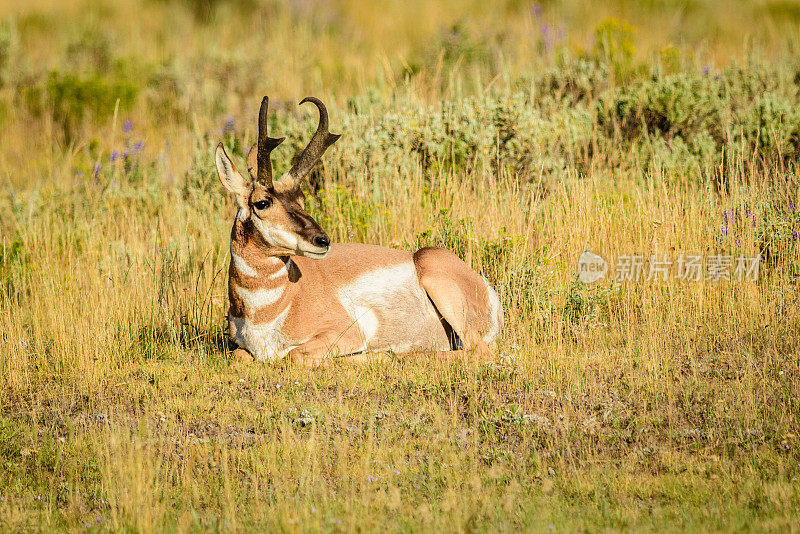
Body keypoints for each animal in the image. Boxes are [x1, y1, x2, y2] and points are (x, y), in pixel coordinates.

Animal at [212, 96, 500, 366]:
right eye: (262, 203)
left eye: (301, 199)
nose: (322, 240)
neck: (275, 304)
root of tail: (486, 289)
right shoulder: (240, 348)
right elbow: (237, 355)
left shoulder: (346, 333)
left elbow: (295, 355)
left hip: (435, 273)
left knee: (478, 353)